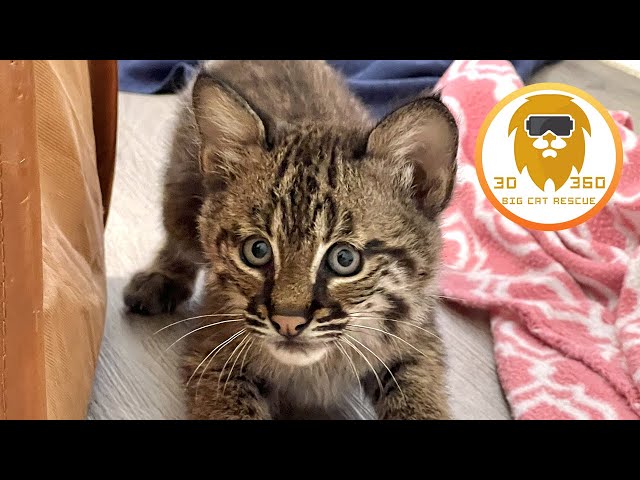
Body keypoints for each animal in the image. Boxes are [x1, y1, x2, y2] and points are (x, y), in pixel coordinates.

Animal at [124, 60, 456, 420]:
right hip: (179, 193)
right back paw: (160, 278)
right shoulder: (213, 353)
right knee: (178, 239)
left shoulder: (417, 340)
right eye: (257, 250)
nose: (287, 323)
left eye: (344, 259)